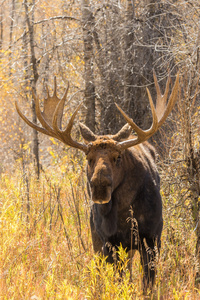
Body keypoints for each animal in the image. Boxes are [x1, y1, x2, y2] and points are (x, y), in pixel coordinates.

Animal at [15, 71, 178, 290]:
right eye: (88, 158)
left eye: (118, 157)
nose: (100, 186)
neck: (123, 212)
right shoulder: (106, 241)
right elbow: (118, 279)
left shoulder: (152, 237)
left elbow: (148, 284)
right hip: (98, 241)